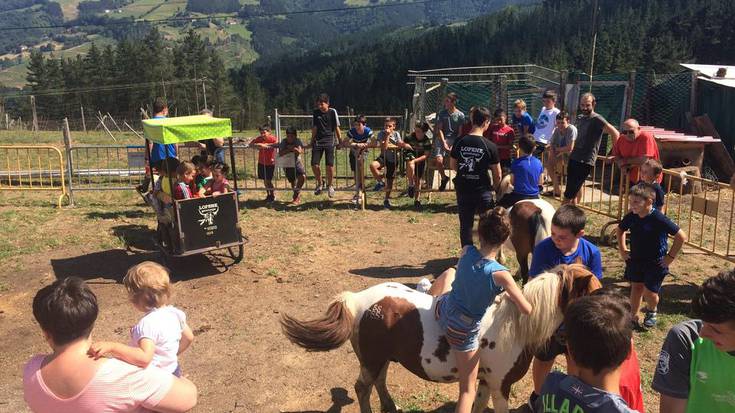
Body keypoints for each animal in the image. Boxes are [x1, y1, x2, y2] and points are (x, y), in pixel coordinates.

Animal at [280, 264, 600, 412]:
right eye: (594, 293)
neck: (514, 326)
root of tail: (357, 300)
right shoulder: (500, 386)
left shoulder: (485, 382)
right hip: (371, 360)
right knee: (362, 388)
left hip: (381, 359)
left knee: (378, 382)